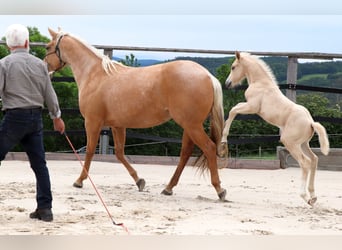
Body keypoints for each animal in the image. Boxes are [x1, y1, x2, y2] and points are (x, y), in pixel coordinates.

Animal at [44, 28, 227, 201]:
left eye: (47, 47)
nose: (46, 69)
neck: (96, 74)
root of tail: (208, 76)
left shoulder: (92, 122)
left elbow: (89, 151)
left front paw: (79, 181)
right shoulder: (117, 125)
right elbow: (119, 153)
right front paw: (139, 181)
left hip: (192, 126)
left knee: (209, 148)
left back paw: (219, 190)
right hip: (189, 126)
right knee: (185, 153)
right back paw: (168, 188)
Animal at [219, 51, 328, 206]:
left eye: (233, 67)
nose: (227, 84)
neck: (260, 83)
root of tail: (310, 122)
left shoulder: (252, 107)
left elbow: (233, 110)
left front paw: (224, 139)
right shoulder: (249, 106)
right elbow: (235, 109)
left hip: (291, 143)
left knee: (305, 162)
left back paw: (305, 196)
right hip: (303, 144)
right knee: (314, 160)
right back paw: (313, 196)